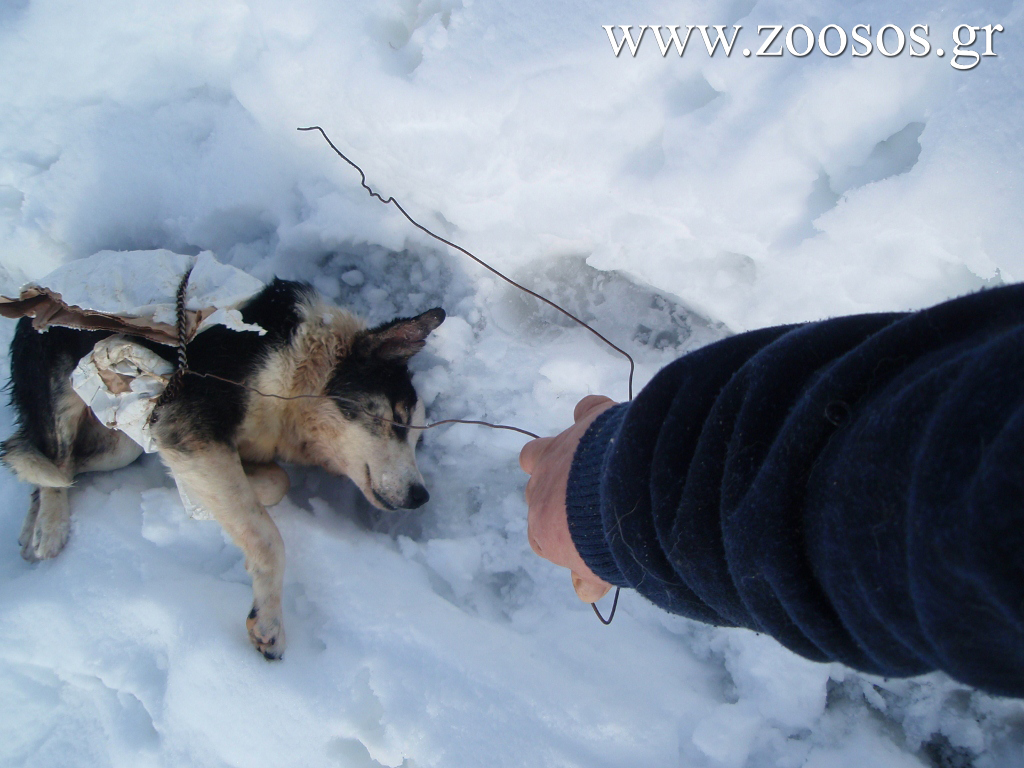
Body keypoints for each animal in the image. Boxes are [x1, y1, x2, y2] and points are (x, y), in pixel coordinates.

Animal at [3, 280, 444, 663]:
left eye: (417, 440)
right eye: (398, 422)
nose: (421, 497)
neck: (300, 371)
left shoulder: (193, 440)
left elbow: (274, 482)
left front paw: (208, 493)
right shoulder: (186, 422)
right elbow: (267, 537)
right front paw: (268, 619)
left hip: (119, 445)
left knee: (43, 460)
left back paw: (32, 527)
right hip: (67, 394)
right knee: (50, 459)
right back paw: (51, 528)